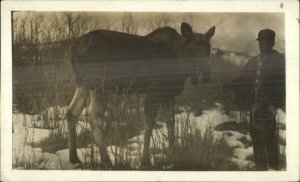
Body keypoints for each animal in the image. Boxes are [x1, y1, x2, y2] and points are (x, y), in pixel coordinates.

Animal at [66, 22, 216, 166]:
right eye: (193, 51)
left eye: (208, 51)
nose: (206, 76)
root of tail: (74, 49)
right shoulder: (153, 92)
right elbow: (149, 124)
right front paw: (145, 160)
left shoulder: (168, 94)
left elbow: (170, 122)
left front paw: (173, 155)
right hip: (99, 85)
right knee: (95, 118)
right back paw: (106, 161)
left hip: (83, 84)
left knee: (71, 112)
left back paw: (74, 158)